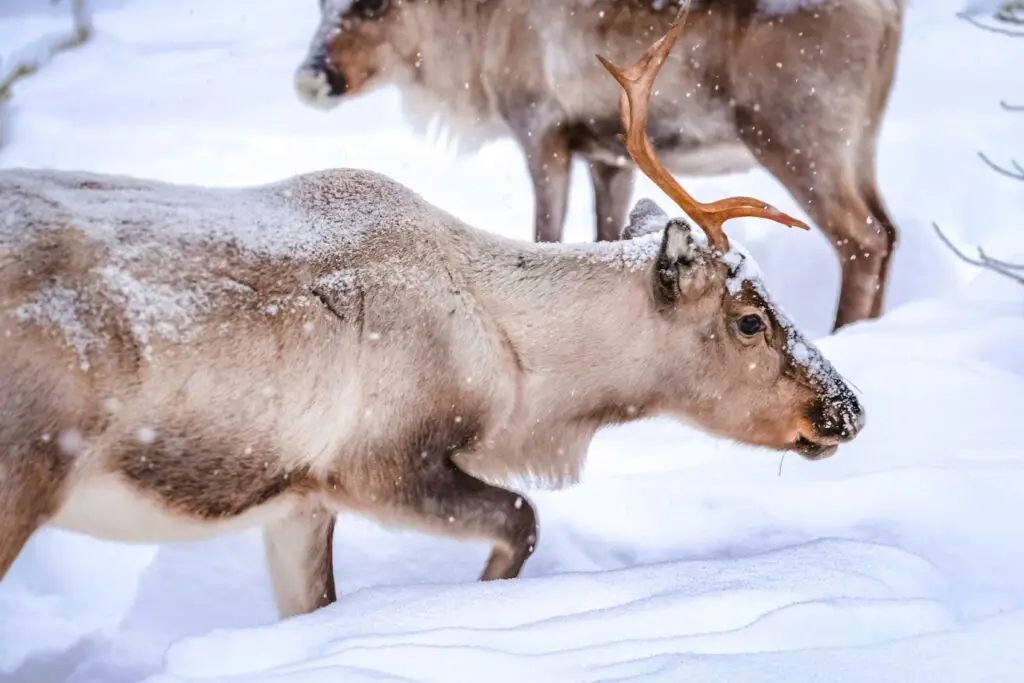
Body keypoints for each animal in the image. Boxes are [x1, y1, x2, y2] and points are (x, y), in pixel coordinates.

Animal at [294, 0, 906, 333]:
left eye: (375, 3)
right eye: (321, 5)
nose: (310, 78)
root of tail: (891, 15)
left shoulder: (542, 131)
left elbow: (545, 234)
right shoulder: (610, 155)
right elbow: (607, 235)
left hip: (797, 134)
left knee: (862, 236)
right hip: (860, 139)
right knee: (889, 229)